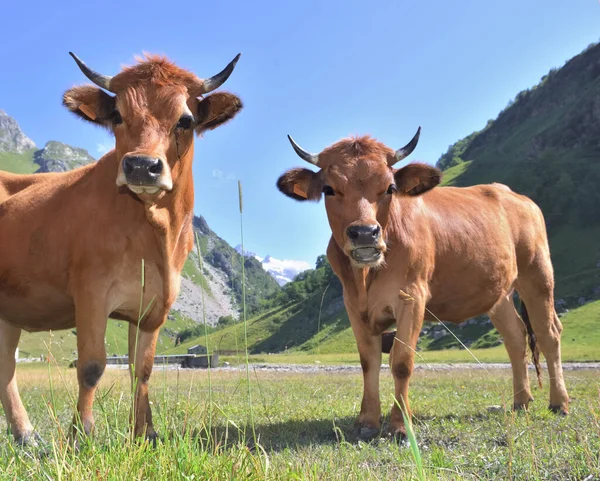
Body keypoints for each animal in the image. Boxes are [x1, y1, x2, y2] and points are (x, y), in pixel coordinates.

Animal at [0, 51, 244, 442]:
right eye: (117, 115)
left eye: (186, 120)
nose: (141, 165)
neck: (154, 236)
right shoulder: (91, 292)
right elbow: (91, 366)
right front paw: (81, 435)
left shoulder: (155, 304)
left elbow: (142, 370)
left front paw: (146, 433)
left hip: (10, 310)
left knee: (6, 366)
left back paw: (26, 435)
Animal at [276, 127, 568, 438]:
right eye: (329, 189)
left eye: (390, 188)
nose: (365, 233)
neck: (366, 278)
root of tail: (515, 195)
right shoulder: (353, 305)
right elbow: (368, 362)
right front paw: (367, 421)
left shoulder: (412, 296)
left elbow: (402, 362)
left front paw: (400, 425)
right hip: (498, 293)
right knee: (515, 336)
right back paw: (521, 402)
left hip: (537, 273)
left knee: (549, 333)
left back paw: (559, 403)